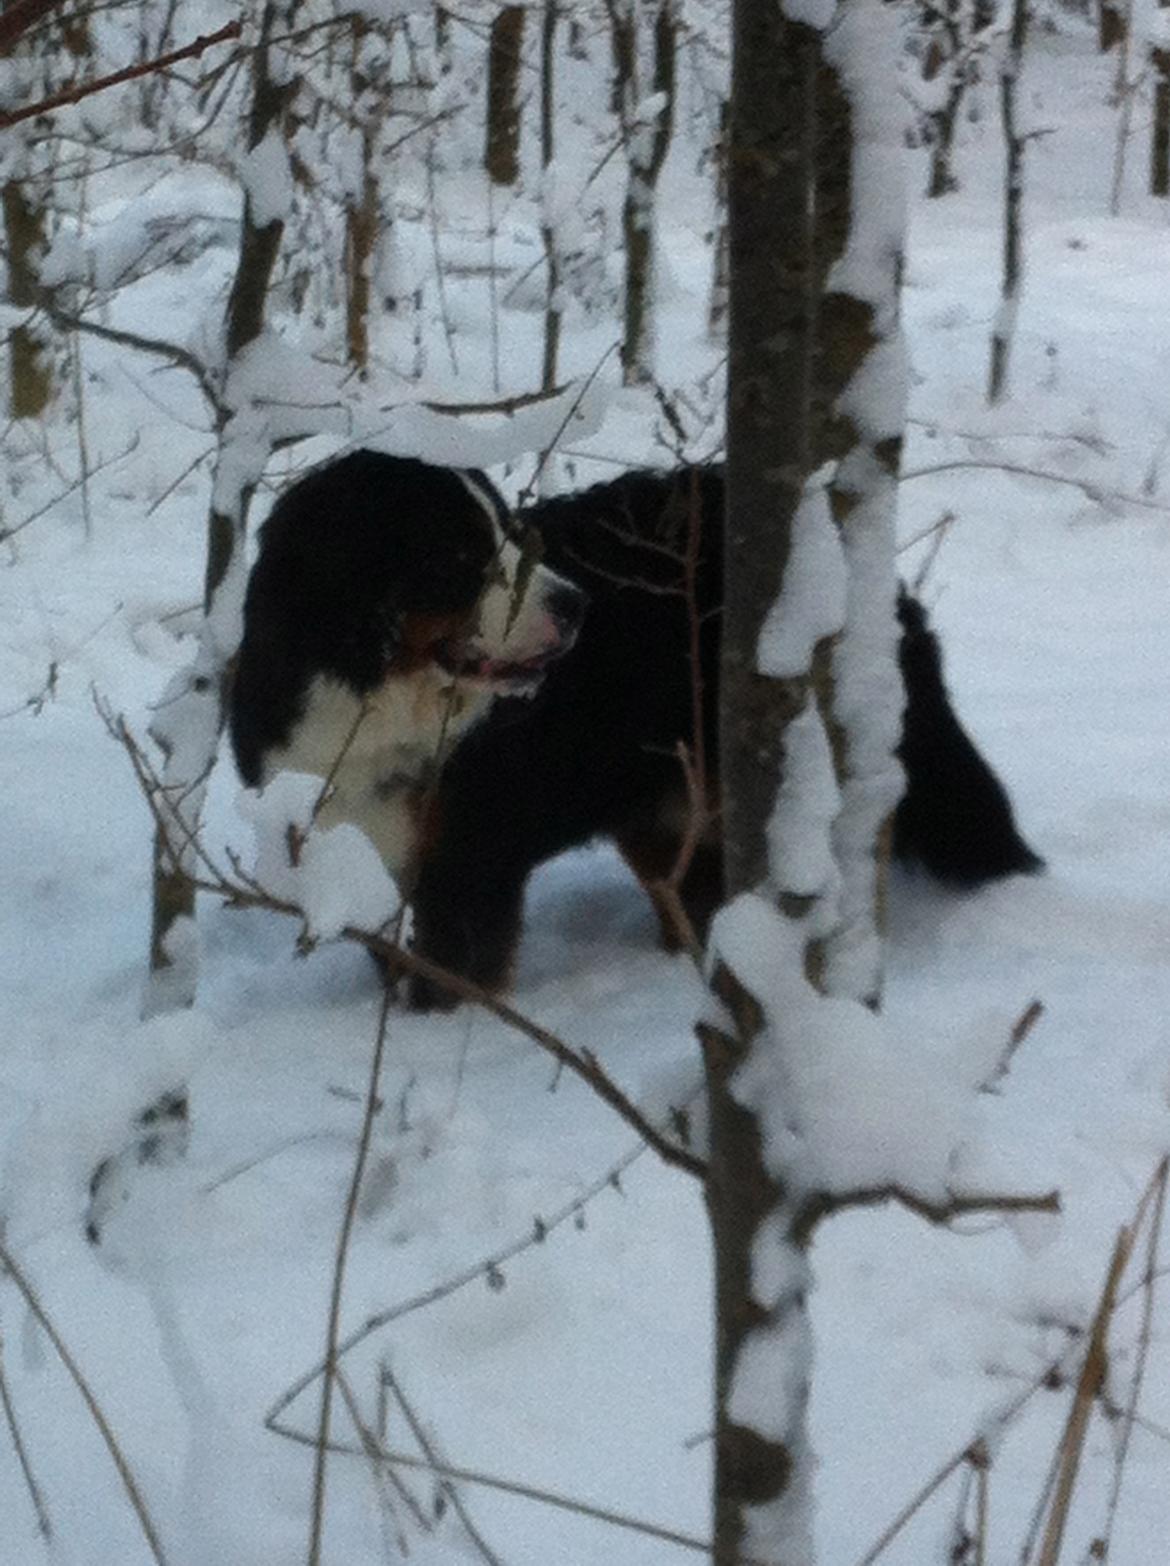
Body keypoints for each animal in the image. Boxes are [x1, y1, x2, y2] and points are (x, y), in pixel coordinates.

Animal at [231, 447, 1046, 1008]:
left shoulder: (468, 854)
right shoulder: (350, 854)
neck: (373, 707)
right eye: (458, 554)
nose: (575, 606)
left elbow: (455, 972)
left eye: (510, 536)